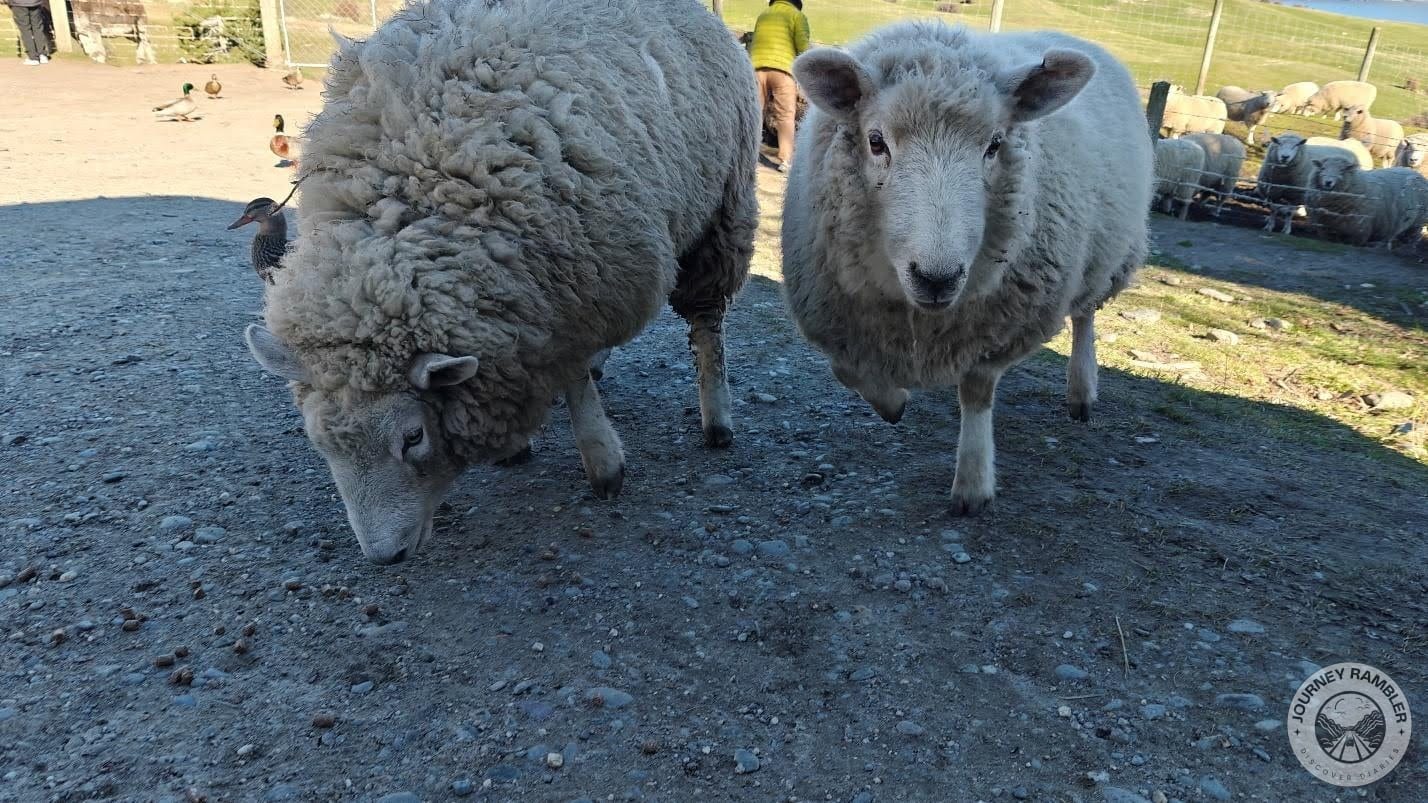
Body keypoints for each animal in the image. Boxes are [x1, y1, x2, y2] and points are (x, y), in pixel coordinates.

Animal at [242, 0, 758, 564]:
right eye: (320, 444)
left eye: (413, 437)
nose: (384, 556)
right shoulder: (536, 298)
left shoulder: (572, 281)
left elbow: (573, 378)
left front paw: (602, 462)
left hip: (722, 209)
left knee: (707, 324)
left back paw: (717, 418)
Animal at [782, 23, 1152, 515]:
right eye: (876, 141)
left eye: (994, 144)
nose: (936, 278)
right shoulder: (838, 314)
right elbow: (849, 373)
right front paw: (893, 402)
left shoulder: (994, 324)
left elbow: (976, 391)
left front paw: (973, 483)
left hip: (1105, 257)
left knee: (1085, 317)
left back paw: (1081, 391)